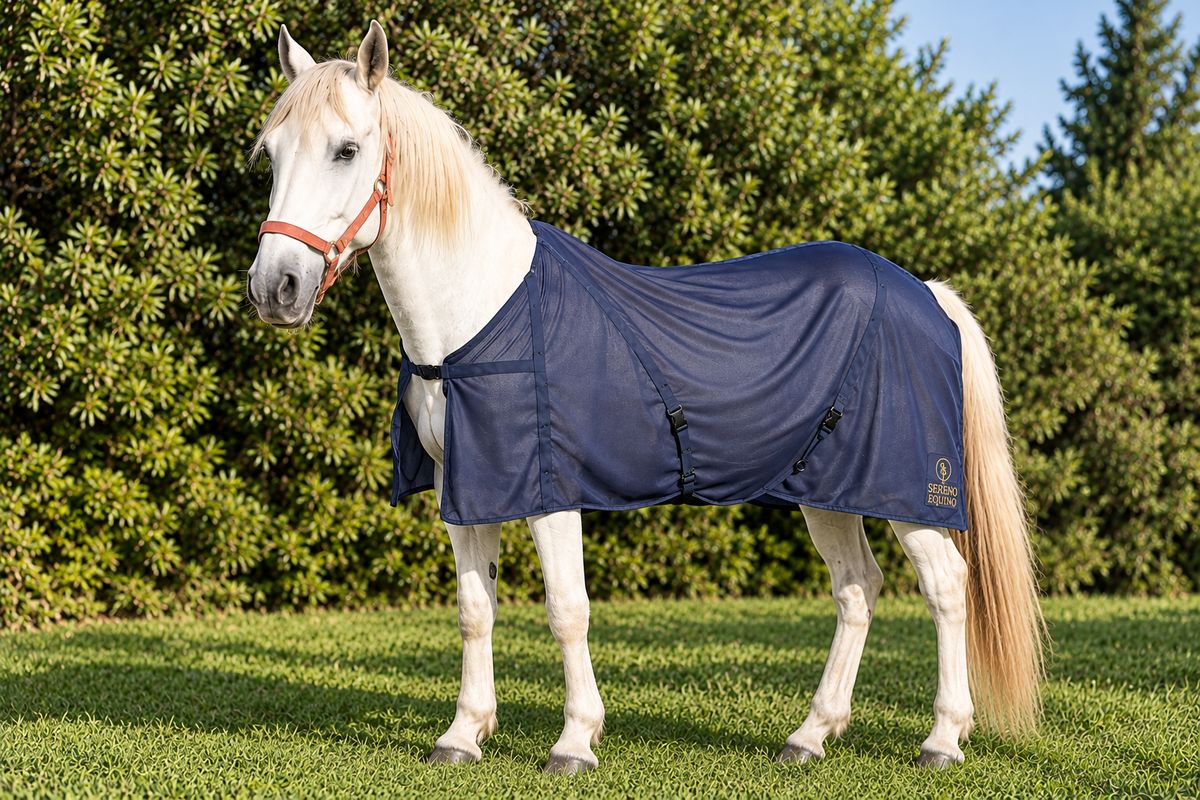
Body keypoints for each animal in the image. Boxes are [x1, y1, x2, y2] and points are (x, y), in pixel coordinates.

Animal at [247, 21, 1045, 774]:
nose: (274, 288)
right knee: (856, 589)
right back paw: (810, 735)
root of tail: (927, 294)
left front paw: (575, 741)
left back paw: (942, 738)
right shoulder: (467, 488)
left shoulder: (547, 489)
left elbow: (566, 610)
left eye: (348, 150)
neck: (483, 310)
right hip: (827, 489)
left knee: (946, 586)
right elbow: (476, 609)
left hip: (906, 490)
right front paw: (462, 735)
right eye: (273, 154)